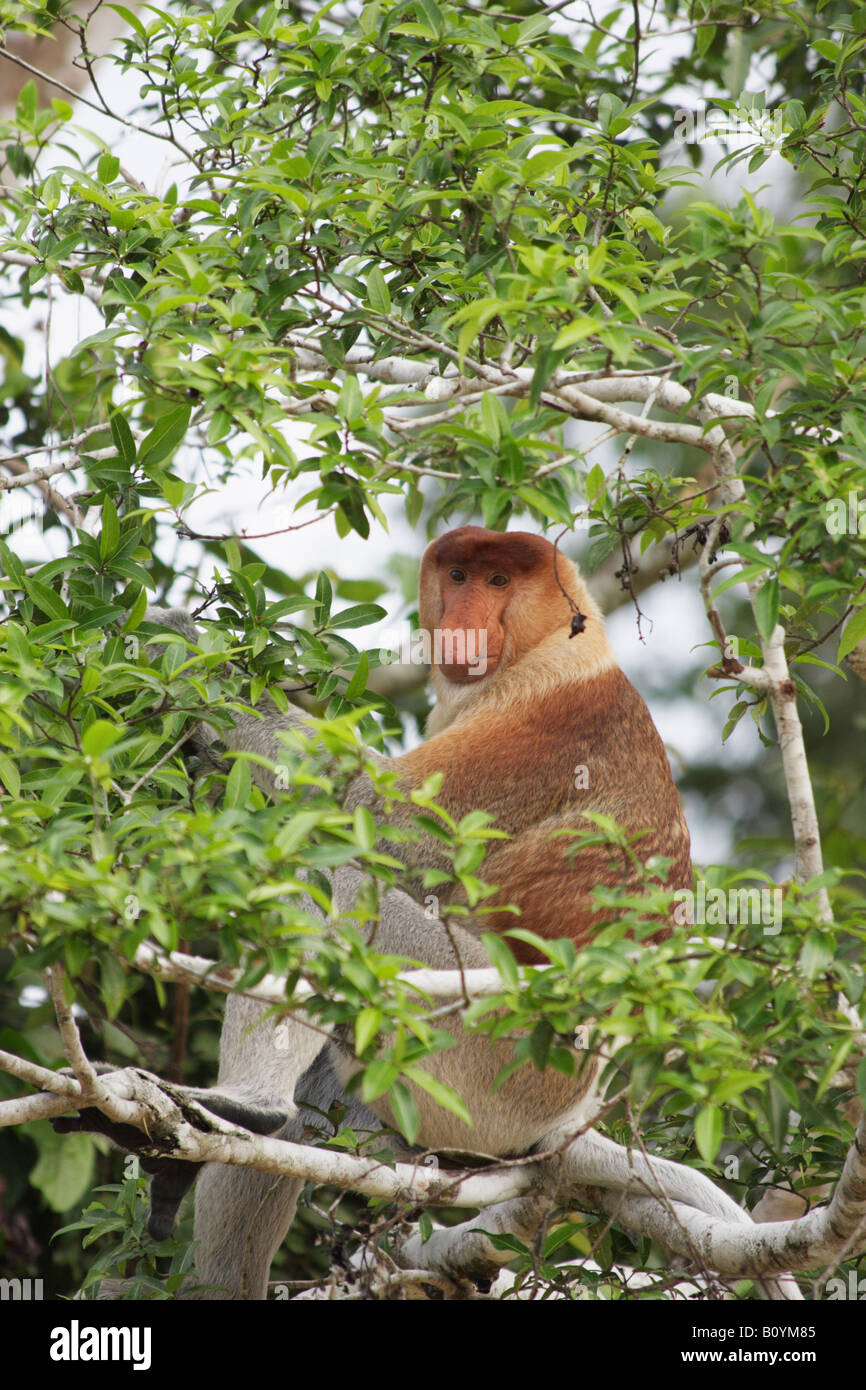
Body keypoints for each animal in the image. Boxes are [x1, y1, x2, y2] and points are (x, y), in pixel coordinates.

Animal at [59, 525, 806, 1295]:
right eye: (458, 574)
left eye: (501, 580)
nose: (462, 620)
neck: (550, 649)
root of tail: (572, 1112)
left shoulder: (543, 720)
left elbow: (366, 810)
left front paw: (170, 635)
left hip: (493, 1052)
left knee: (337, 880)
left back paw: (247, 1107)